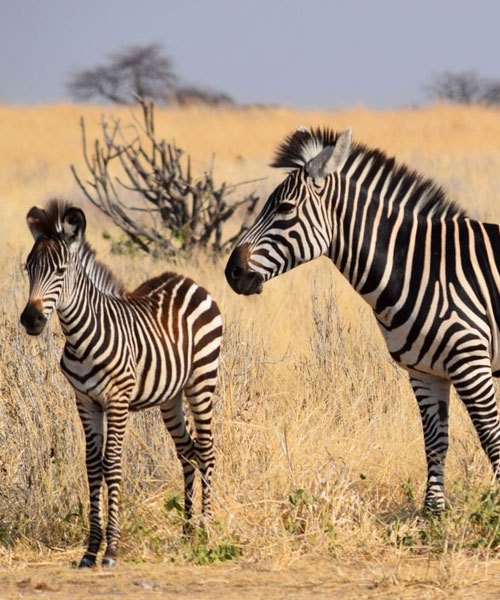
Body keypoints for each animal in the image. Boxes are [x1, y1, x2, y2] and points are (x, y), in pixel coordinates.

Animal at [20, 202, 222, 568]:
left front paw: (111, 549)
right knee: (187, 452)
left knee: (206, 450)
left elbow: (111, 463)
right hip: (170, 397)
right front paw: (90, 550)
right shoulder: (85, 401)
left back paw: (206, 528)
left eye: (60, 270)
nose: (31, 320)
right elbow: (92, 465)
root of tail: (186, 279)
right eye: (29, 268)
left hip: (202, 380)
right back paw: (188, 532)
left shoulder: (117, 400)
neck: (83, 336)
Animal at [226, 126, 500, 510]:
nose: (231, 272)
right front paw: (433, 513)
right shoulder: (424, 371)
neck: (425, 267)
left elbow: (491, 437)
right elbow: (435, 442)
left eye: (284, 208)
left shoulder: (470, 361)